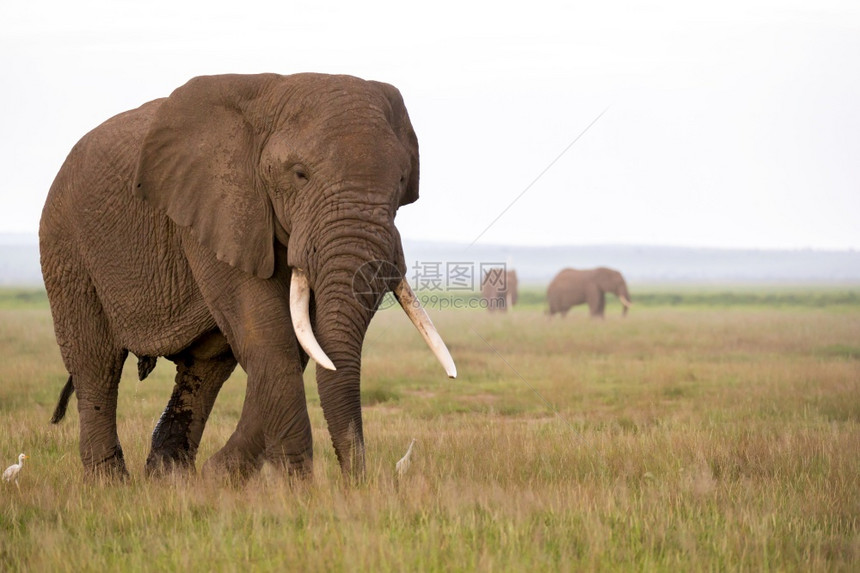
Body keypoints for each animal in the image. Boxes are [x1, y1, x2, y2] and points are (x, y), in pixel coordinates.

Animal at [38, 73, 456, 480]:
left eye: (401, 182)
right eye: (299, 174)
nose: (356, 482)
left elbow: (295, 342)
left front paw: (219, 477)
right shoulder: (217, 206)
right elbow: (270, 334)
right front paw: (295, 487)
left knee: (204, 369)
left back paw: (171, 479)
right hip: (65, 243)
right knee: (96, 363)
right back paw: (111, 483)